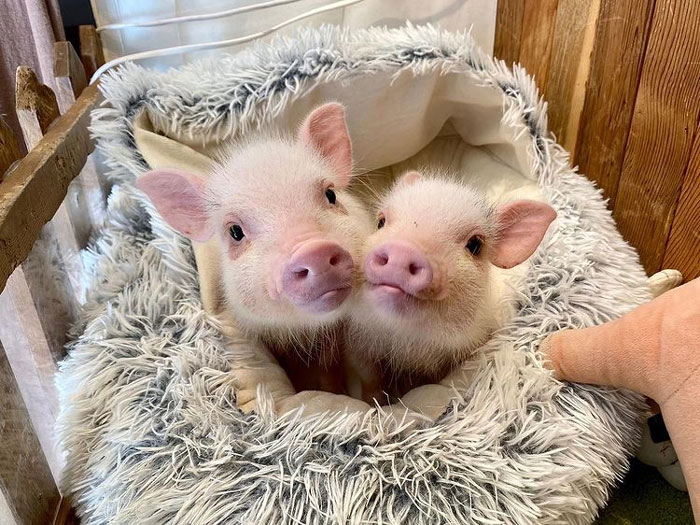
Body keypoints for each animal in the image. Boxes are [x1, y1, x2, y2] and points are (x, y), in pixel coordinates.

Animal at [348, 169, 556, 398]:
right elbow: (369, 379)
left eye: (475, 244)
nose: (402, 250)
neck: (408, 342)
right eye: (381, 222)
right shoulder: (358, 345)